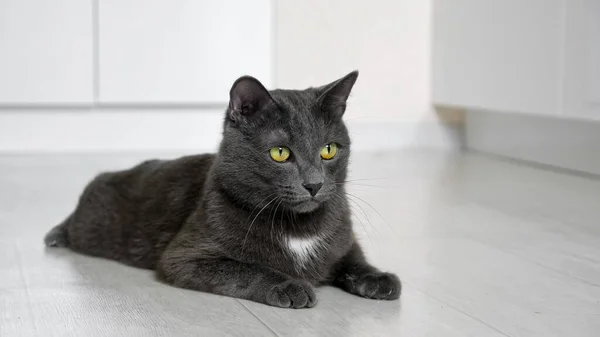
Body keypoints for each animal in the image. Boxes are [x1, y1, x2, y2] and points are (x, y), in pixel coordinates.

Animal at [44, 71, 400, 308]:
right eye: (280, 153)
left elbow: (353, 258)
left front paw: (379, 278)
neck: (298, 227)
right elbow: (245, 268)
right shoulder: (183, 257)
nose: (314, 184)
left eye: (329, 150)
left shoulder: (343, 237)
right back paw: (55, 235)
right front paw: (289, 286)